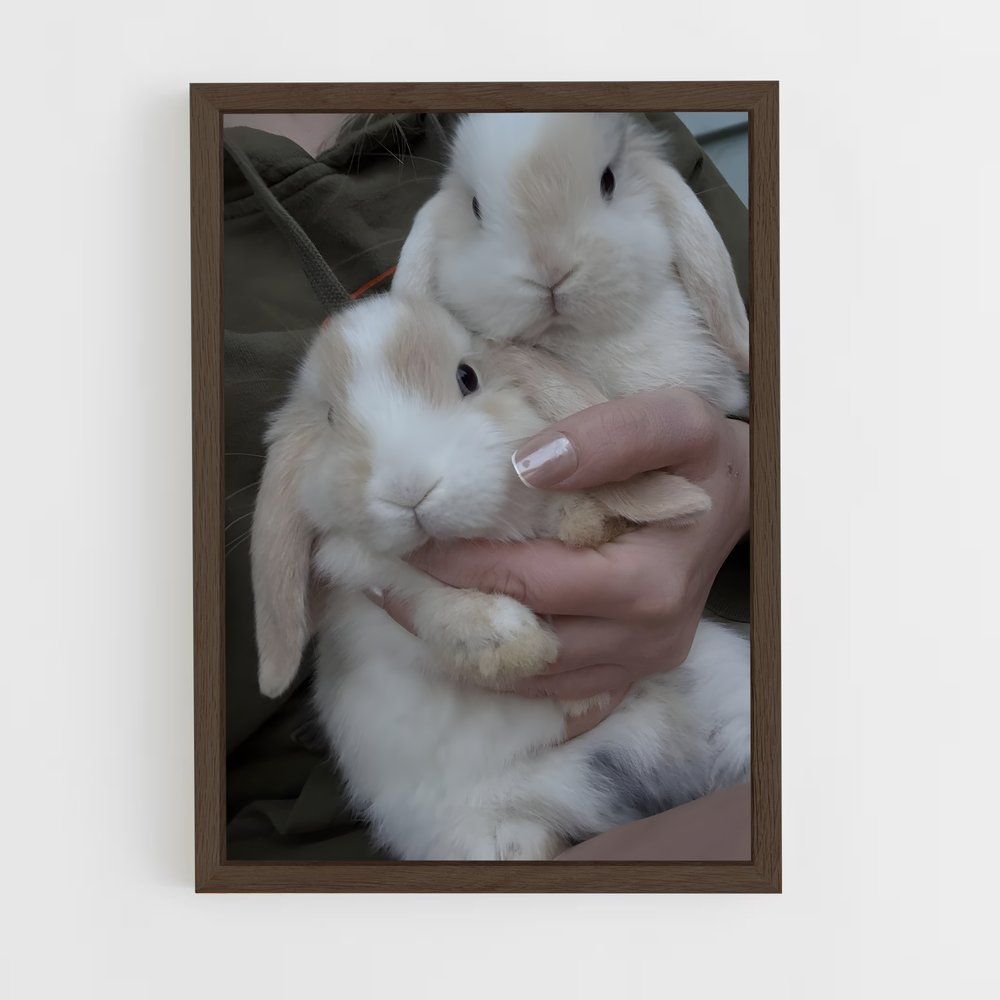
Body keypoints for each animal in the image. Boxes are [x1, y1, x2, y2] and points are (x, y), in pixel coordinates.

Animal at [250, 292, 750, 860]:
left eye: (467, 377)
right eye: (331, 416)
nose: (408, 488)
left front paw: (590, 522)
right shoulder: (377, 580)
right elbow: (431, 601)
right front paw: (516, 646)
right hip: (486, 836)